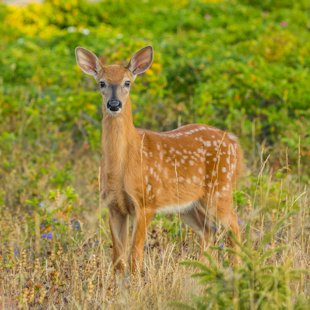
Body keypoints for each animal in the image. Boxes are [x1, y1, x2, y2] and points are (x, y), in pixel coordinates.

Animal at [75, 44, 245, 272]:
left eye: (127, 82)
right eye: (101, 83)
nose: (114, 104)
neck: (123, 163)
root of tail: (235, 143)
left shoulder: (146, 201)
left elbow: (135, 257)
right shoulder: (113, 205)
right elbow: (118, 260)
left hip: (220, 190)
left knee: (234, 227)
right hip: (189, 205)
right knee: (208, 231)